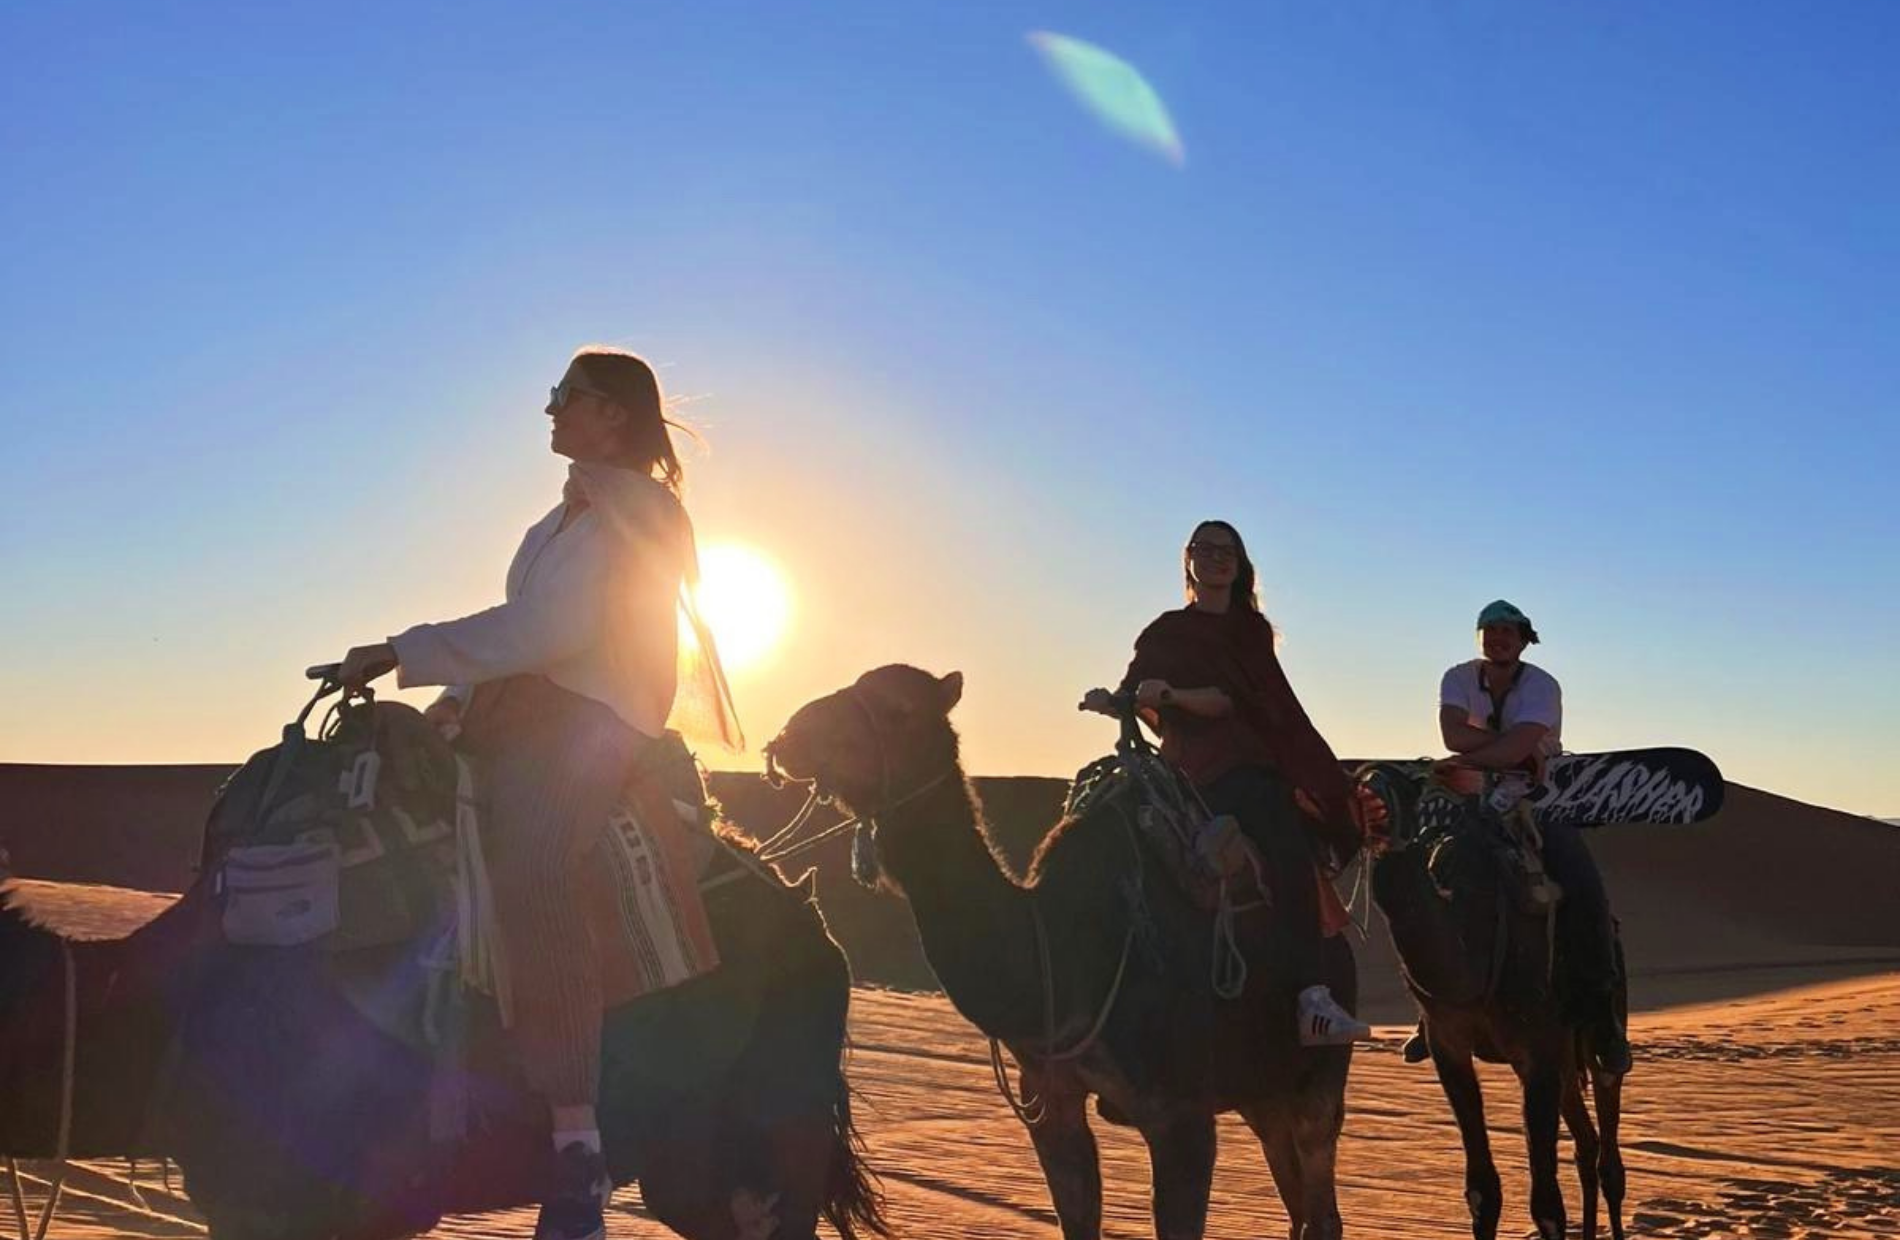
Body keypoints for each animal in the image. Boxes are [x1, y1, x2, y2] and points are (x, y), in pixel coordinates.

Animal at [763, 668, 1360, 1238]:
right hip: (1261, 1089)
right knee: (1298, 1206)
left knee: (1321, 1203)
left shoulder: (1181, 1113)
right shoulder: (1051, 1104)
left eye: (898, 708)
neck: (1059, 946)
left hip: (1317, 1075)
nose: (791, 735)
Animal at [1360, 763, 1626, 1238]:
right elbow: (1482, 1191)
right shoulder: (1449, 1043)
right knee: (1586, 1144)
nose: (1372, 807)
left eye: (1406, 788)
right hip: (1563, 1059)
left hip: (1600, 1034)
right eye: (1363, 783)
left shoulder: (1536, 1051)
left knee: (1610, 1155)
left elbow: (1547, 1205)